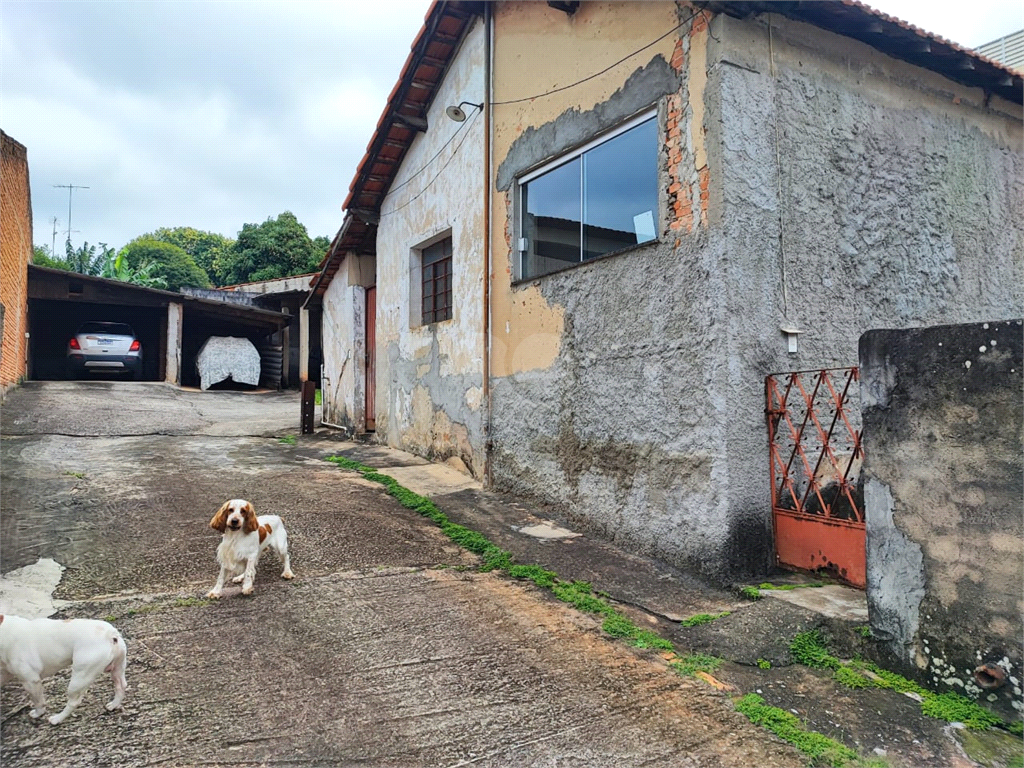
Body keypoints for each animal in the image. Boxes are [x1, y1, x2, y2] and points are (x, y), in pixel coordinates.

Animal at [0, 614, 128, 729]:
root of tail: (110, 634)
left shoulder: (30, 681)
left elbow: (38, 701)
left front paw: (38, 713)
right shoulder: (5, 673)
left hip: (80, 678)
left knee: (74, 702)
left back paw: (57, 718)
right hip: (117, 667)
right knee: (120, 686)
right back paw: (114, 705)